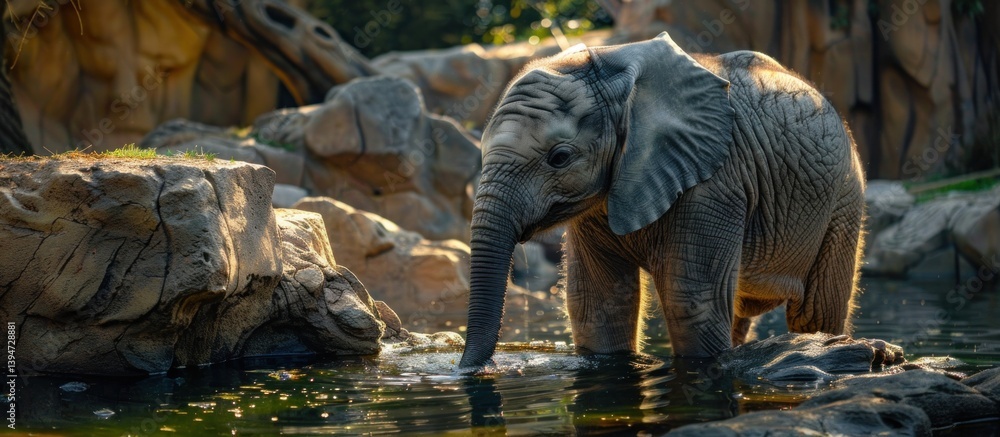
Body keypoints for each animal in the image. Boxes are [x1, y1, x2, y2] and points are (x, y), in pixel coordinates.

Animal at [458, 32, 866, 369]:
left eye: (559, 157)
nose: (476, 369)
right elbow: (598, 305)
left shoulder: (716, 182)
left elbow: (690, 302)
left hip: (844, 200)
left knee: (815, 312)